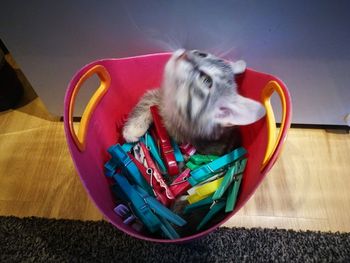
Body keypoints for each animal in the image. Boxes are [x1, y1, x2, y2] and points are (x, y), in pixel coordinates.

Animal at [121, 49, 264, 156]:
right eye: (202, 54)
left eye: (207, 80)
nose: (185, 54)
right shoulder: (160, 96)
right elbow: (146, 102)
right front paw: (132, 129)